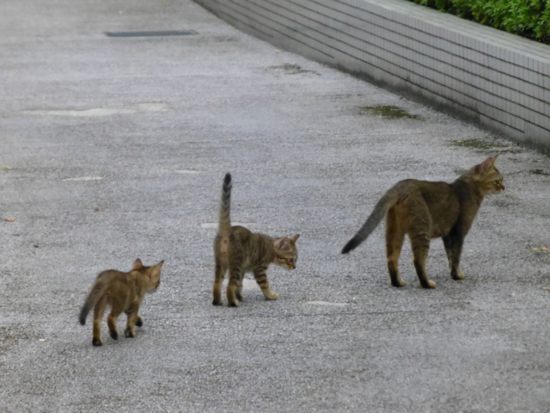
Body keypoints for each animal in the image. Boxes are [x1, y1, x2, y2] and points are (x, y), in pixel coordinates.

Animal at [215, 173, 302, 306]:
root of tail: (228, 232)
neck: (270, 247)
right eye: (291, 259)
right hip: (236, 265)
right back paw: (232, 302)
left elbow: (240, 284)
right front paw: (270, 295)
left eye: (295, 260)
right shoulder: (259, 269)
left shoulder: (243, 270)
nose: (295, 267)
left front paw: (239, 295)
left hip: (221, 263)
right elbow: (264, 284)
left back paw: (217, 300)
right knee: (229, 285)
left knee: (217, 283)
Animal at [342, 156, 506, 288]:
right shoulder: (458, 232)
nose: (504, 188)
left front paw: (453, 273)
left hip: (394, 229)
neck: (470, 188)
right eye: (498, 181)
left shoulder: (447, 234)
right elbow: (456, 255)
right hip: (422, 228)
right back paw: (427, 283)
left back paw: (398, 282)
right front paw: (457, 275)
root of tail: (399, 186)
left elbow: (450, 256)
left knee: (391, 258)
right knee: (418, 260)